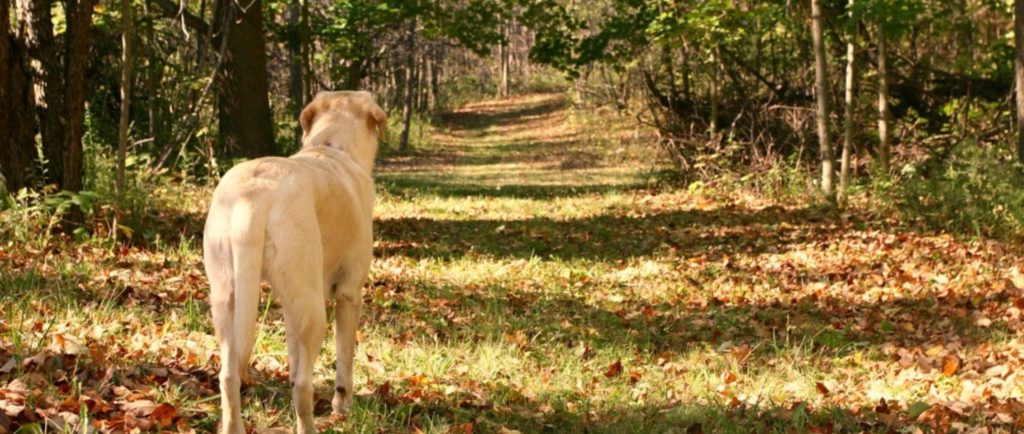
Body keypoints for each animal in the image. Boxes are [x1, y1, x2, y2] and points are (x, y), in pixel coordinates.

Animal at [202, 90, 385, 431]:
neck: (332, 146)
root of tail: (254, 196)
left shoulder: (289, 305)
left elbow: (293, 352)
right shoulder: (349, 294)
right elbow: (344, 359)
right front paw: (343, 406)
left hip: (226, 300)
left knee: (228, 375)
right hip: (314, 311)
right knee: (303, 387)